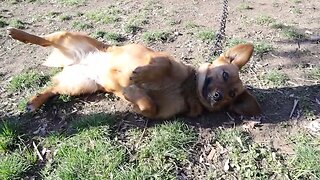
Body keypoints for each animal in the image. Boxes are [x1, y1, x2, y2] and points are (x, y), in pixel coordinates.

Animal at [7, 27, 262, 119]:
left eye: (231, 95)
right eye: (224, 75)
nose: (218, 96)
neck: (186, 89)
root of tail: (80, 62)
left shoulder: (157, 111)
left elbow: (149, 106)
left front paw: (132, 98)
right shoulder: (160, 58)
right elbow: (161, 66)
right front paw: (138, 77)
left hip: (78, 86)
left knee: (52, 88)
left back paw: (34, 102)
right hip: (69, 37)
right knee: (44, 39)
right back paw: (17, 33)